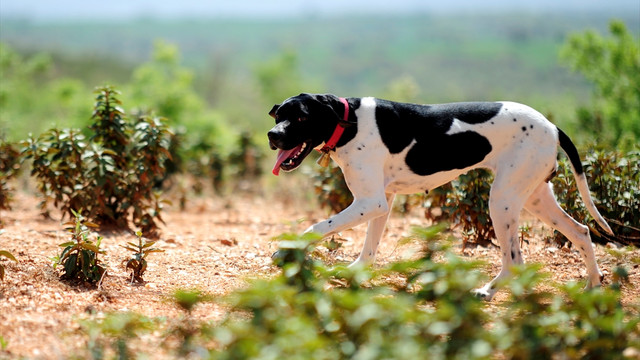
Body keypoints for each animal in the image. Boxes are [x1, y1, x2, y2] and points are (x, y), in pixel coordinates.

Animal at [266, 93, 616, 300]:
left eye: (300, 117)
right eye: (278, 116)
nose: (272, 135)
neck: (347, 120)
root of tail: (552, 126)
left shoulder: (370, 202)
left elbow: (317, 227)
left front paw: (286, 252)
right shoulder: (382, 202)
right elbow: (369, 248)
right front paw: (355, 273)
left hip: (502, 201)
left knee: (515, 259)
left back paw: (488, 291)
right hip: (534, 197)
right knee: (581, 231)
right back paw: (593, 285)